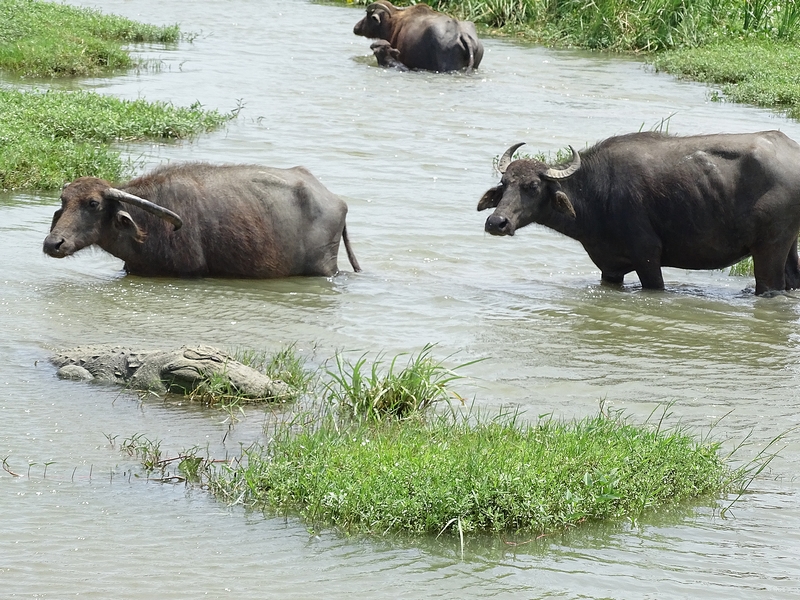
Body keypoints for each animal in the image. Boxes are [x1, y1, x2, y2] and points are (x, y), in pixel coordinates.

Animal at [44, 163, 361, 278]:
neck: (147, 225)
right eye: (64, 201)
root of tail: (337, 201)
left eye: (93, 203)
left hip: (323, 268)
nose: (52, 243)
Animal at [478, 131, 800, 295]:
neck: (597, 193)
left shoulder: (647, 257)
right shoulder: (609, 267)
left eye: (532, 186)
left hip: (769, 248)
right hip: (789, 245)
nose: (497, 222)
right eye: (504, 184)